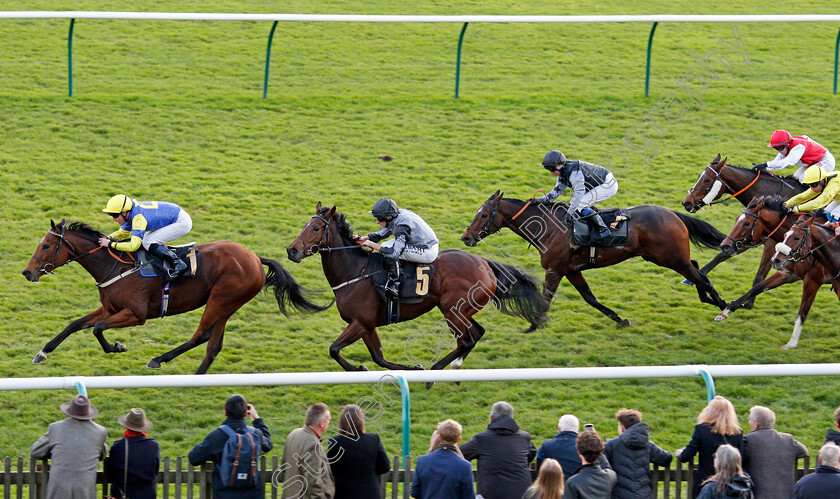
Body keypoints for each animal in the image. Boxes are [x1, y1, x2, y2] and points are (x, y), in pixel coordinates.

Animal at [22, 221, 324, 374]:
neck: (115, 266)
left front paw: (117, 347)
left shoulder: (136, 315)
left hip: (221, 299)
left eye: (46, 245)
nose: (28, 272)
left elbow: (96, 328)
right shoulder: (109, 308)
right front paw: (42, 352)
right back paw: (197, 377)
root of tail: (253, 256)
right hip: (229, 304)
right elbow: (75, 324)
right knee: (213, 345)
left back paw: (160, 359)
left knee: (201, 335)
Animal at [286, 201, 548, 374]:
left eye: (316, 229)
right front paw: (405, 367)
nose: (292, 250)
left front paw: (358, 368)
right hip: (459, 310)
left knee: (466, 340)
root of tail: (485, 264)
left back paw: (434, 371)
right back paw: (454, 365)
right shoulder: (367, 325)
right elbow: (378, 357)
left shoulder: (360, 322)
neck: (355, 272)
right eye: (305, 226)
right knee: (476, 333)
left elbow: (334, 349)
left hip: (452, 310)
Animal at [462, 189, 724, 330]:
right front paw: (620, 319)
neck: (548, 226)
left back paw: (724, 306)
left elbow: (546, 298)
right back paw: (709, 299)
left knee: (699, 276)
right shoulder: (571, 270)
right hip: (664, 257)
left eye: (483, 215)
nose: (466, 237)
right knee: (697, 270)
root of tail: (672, 213)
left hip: (671, 257)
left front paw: (534, 324)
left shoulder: (554, 269)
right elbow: (590, 298)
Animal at [680, 154, 804, 306]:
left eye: (707, 179)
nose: (686, 203)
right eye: (699, 176)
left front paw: (747, 304)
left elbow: (760, 274)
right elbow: (721, 255)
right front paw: (693, 278)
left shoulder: (772, 242)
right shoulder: (749, 236)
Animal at [716, 197, 832, 350]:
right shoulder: (787, 273)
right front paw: (725, 311)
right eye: (736, 220)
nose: (725, 246)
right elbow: (756, 288)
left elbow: (802, 311)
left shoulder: (813, 280)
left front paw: (791, 343)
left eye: (747, 223)